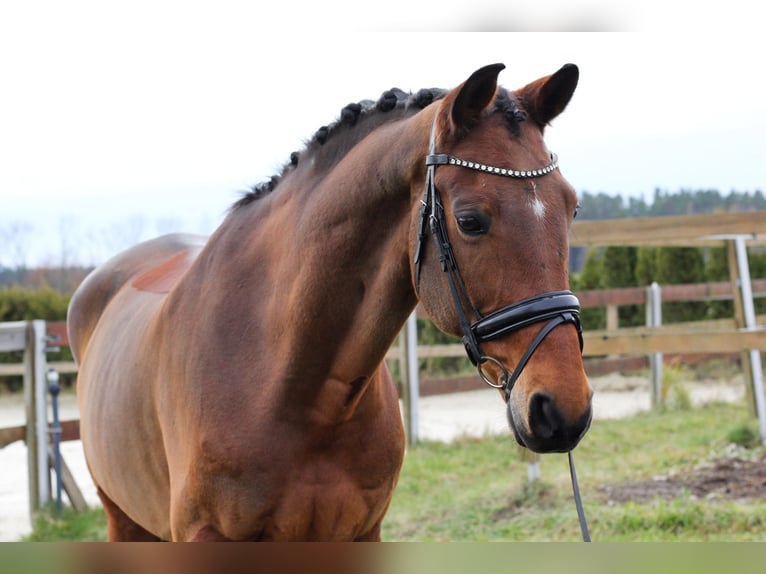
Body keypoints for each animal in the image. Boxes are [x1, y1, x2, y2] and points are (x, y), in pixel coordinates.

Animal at [67, 64, 592, 544]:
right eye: (469, 220)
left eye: (572, 208)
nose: (563, 410)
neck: (292, 389)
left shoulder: (362, 533)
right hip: (122, 518)